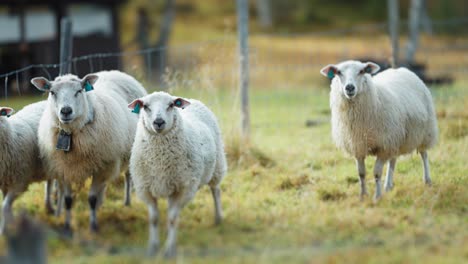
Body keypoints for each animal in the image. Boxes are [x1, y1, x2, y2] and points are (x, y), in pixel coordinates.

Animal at [31, 70, 147, 233]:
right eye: (52, 92)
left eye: (79, 91)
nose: (66, 111)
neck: (70, 134)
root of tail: (114, 72)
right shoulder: (64, 169)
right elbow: (68, 200)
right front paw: (67, 225)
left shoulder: (101, 167)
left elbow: (91, 198)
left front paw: (93, 225)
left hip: (128, 152)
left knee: (128, 176)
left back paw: (127, 202)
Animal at [129, 91, 228, 258]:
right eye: (145, 106)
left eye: (171, 105)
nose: (159, 122)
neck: (160, 159)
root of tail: (192, 99)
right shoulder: (146, 189)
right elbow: (154, 219)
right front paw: (153, 248)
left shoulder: (182, 189)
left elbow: (172, 219)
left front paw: (169, 250)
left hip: (217, 166)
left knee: (216, 191)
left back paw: (218, 217)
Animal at [320, 59, 436, 200]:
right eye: (338, 72)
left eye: (362, 71)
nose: (350, 87)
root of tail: (401, 69)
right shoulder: (359, 146)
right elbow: (361, 173)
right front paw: (363, 195)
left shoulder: (383, 146)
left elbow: (376, 173)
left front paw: (377, 196)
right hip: (395, 137)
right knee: (393, 160)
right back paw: (388, 185)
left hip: (425, 131)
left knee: (424, 154)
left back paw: (427, 180)